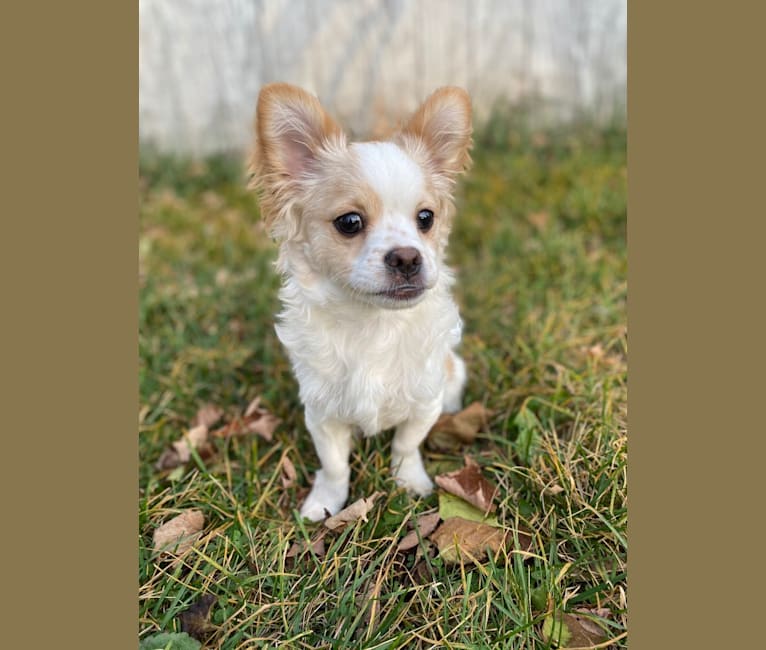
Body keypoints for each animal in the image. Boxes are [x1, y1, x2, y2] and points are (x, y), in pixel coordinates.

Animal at [250, 81, 474, 520]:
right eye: (350, 222)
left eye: (426, 218)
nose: (407, 257)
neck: (374, 324)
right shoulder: (322, 415)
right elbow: (335, 465)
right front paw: (324, 504)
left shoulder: (424, 402)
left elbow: (406, 445)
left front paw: (409, 483)